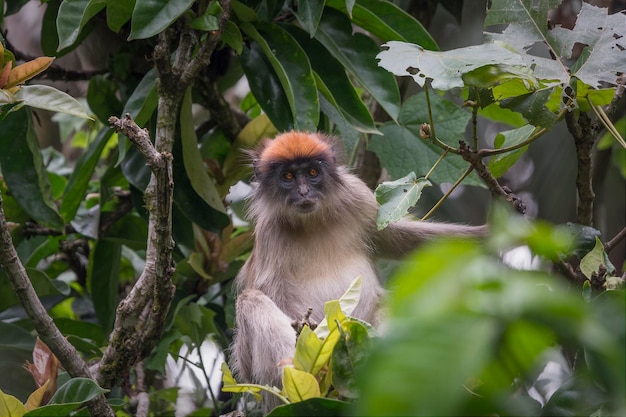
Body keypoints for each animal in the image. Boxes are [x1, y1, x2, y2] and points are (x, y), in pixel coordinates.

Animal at [228, 131, 482, 410]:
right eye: (288, 177)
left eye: (312, 172)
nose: (304, 191)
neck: (311, 223)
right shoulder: (269, 233)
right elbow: (272, 293)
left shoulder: (357, 197)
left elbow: (397, 237)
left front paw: (489, 235)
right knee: (251, 300)